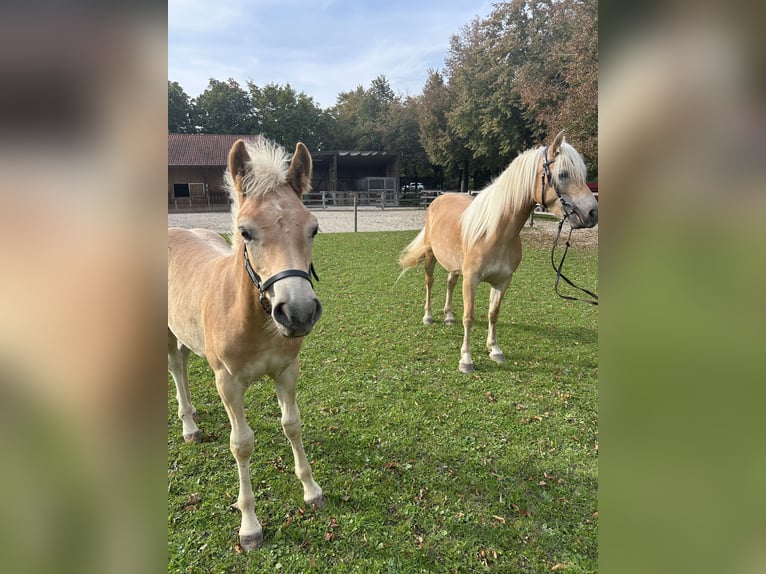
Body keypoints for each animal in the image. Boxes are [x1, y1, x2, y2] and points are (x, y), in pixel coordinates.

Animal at [168, 138, 324, 552]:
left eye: (314, 229)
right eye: (246, 232)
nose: (298, 312)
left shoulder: (286, 371)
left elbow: (292, 424)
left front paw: (311, 490)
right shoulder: (227, 382)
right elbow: (241, 443)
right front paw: (250, 525)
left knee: (182, 365)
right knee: (174, 367)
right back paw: (189, 427)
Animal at [402, 131, 600, 376]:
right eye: (563, 174)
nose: (592, 213)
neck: (495, 232)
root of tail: (438, 198)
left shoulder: (503, 281)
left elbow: (493, 313)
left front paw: (494, 349)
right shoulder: (471, 279)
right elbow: (469, 317)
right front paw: (466, 359)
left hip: (455, 265)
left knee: (450, 283)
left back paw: (448, 316)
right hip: (431, 256)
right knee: (429, 283)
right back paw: (428, 316)